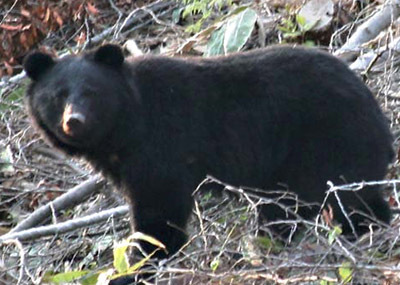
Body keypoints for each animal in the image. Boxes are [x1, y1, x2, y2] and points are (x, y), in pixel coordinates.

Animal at [24, 43, 394, 260]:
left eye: (91, 92)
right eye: (57, 95)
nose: (74, 122)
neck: (125, 130)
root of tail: (376, 109)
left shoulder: (163, 146)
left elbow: (159, 206)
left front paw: (146, 258)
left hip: (325, 142)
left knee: (339, 198)